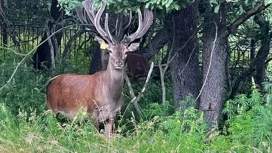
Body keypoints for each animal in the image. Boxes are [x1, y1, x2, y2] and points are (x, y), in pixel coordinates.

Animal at [46, 0, 153, 137]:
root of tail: (49, 83)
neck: (110, 99)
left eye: (126, 52)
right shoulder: (92, 111)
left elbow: (107, 138)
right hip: (51, 108)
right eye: (110, 50)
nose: (119, 63)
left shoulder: (113, 115)